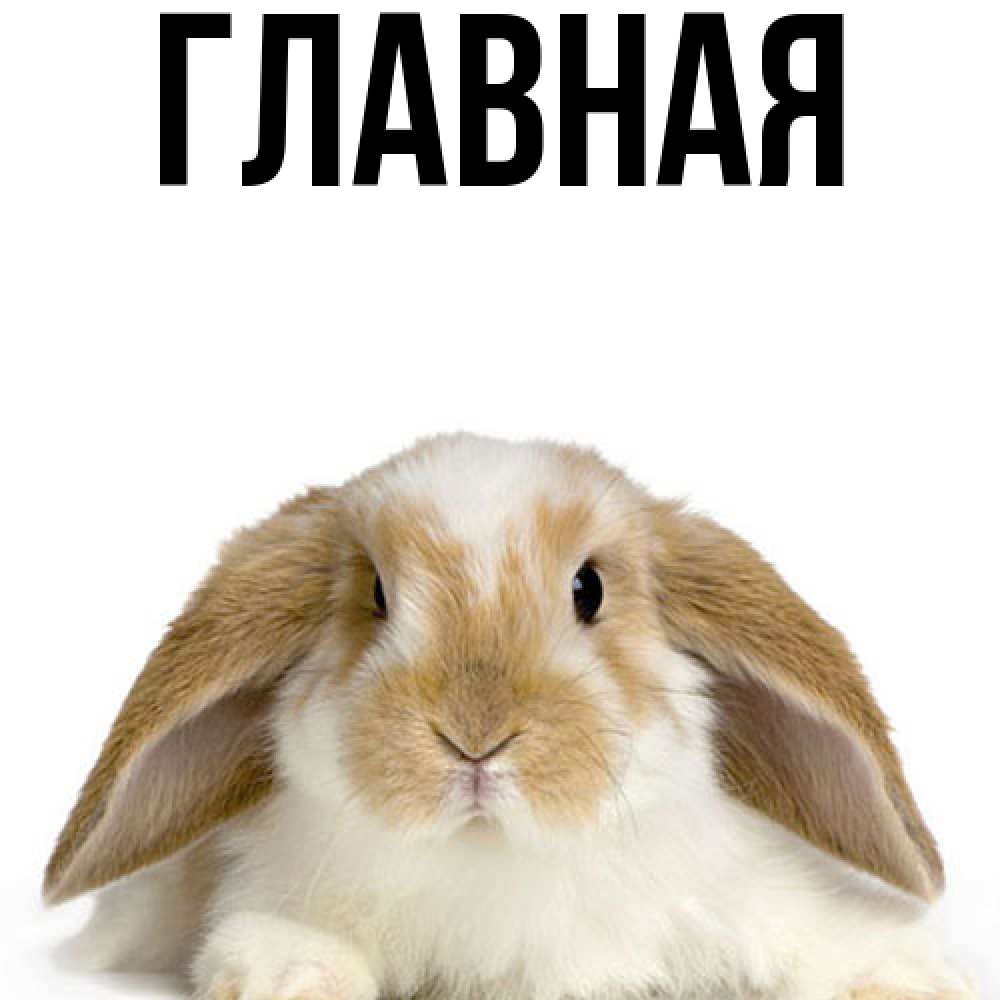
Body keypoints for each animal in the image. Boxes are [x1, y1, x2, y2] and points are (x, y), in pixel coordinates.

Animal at [45, 434, 975, 1000]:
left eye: (589, 589)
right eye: (376, 595)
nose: (475, 736)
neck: (495, 857)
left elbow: (816, 938)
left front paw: (910, 978)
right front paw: (292, 976)